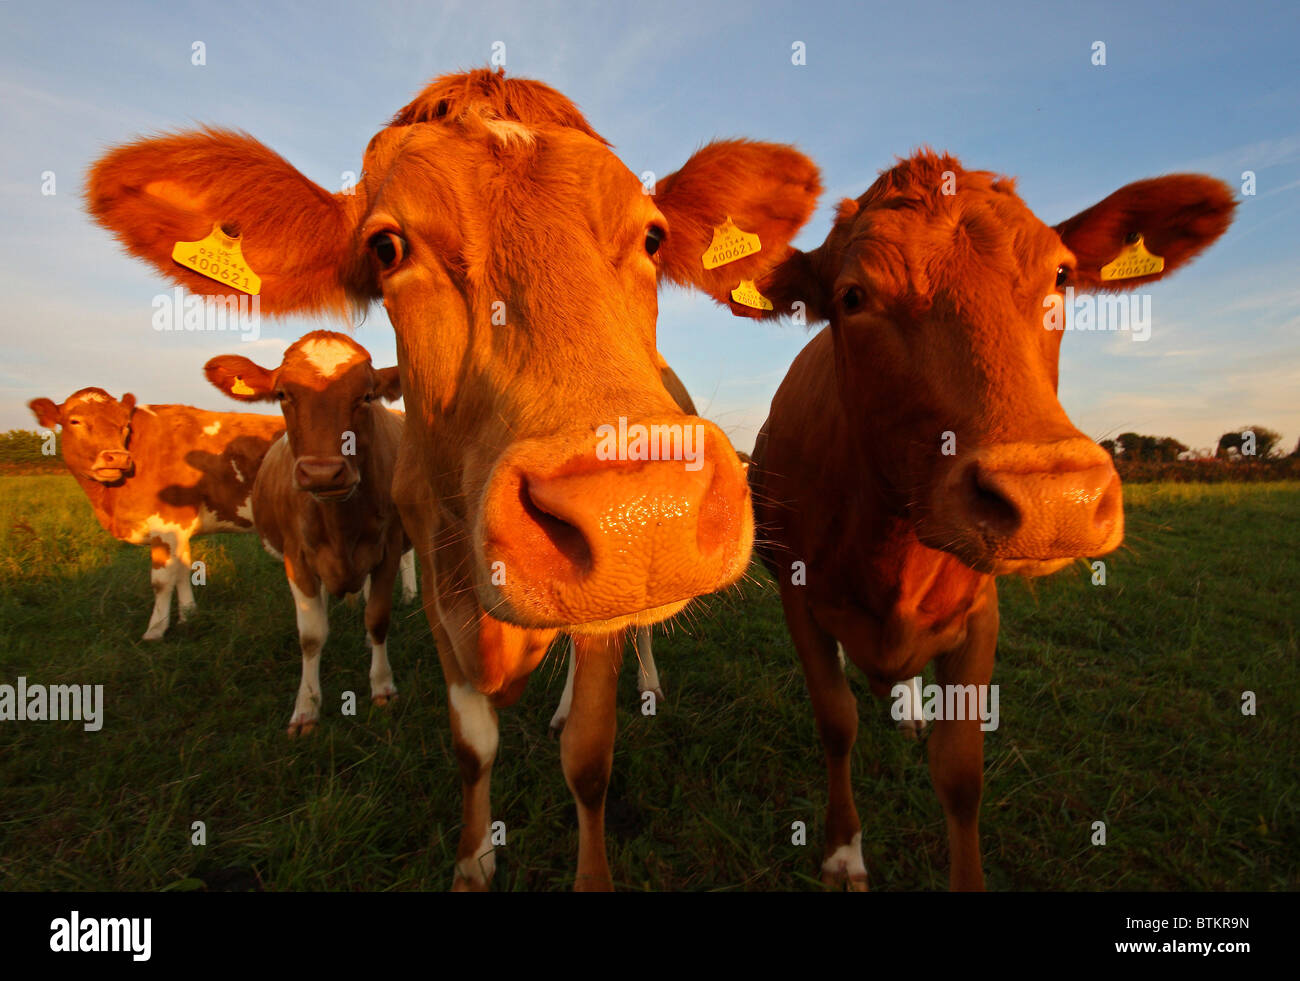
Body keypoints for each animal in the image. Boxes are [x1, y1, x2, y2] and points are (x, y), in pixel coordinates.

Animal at [26, 387, 286, 641]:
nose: (117, 457)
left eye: (124, 424)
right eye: (75, 421)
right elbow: (182, 570)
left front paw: (155, 630)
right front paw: (188, 616)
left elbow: (162, 580)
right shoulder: (180, 527)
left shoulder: (166, 524)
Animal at [205, 331, 408, 738]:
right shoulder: (296, 557)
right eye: (283, 394)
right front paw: (306, 708)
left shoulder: (389, 548)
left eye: (367, 395)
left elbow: (378, 617)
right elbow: (312, 635)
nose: (322, 473)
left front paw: (382, 687)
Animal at [728, 151, 1232, 888]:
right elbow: (837, 721)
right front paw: (845, 849)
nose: (1054, 500)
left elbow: (961, 772)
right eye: (852, 297)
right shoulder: (799, 599)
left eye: (1062, 276)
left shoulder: (980, 612)